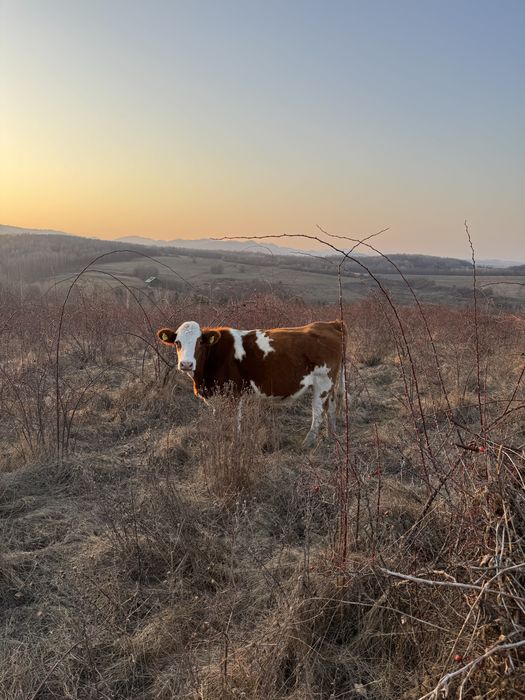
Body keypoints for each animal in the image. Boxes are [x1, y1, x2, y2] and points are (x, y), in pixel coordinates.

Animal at [157, 320, 346, 446]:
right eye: (177, 342)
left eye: (199, 343)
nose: (186, 364)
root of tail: (329, 324)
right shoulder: (217, 396)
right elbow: (218, 419)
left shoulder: (234, 394)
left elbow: (235, 422)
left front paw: (234, 443)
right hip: (329, 384)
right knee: (331, 407)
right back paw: (331, 436)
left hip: (322, 382)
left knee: (318, 412)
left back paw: (308, 442)